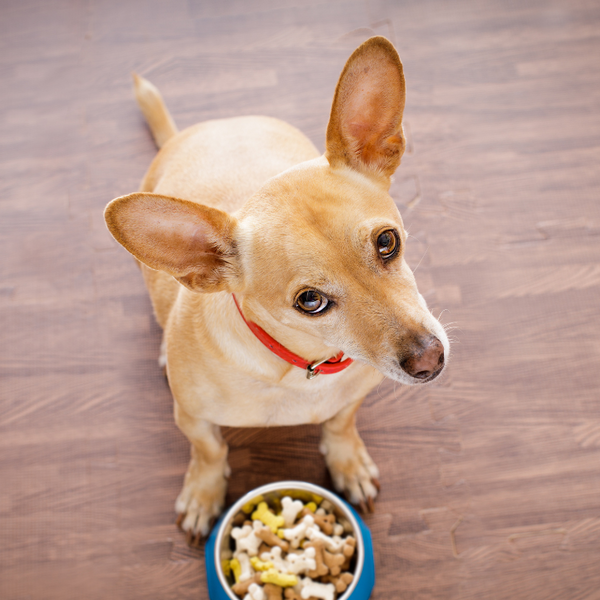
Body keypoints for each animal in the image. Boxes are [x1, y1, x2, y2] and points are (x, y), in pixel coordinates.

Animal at [104, 36, 450, 544]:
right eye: (310, 302)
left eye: (388, 242)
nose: (430, 360)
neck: (304, 366)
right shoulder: (192, 419)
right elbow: (209, 452)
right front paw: (203, 494)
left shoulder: (351, 400)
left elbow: (340, 425)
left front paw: (347, 462)